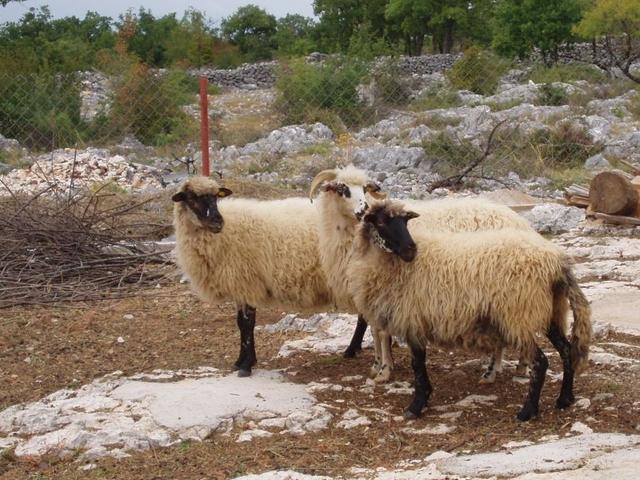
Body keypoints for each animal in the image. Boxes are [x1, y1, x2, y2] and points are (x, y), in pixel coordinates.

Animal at [172, 176, 333, 377]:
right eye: (191, 198)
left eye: (216, 196)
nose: (217, 222)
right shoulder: (240, 287)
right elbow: (240, 324)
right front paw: (241, 361)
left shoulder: (247, 282)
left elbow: (247, 324)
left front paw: (246, 366)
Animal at [309, 166, 535, 383]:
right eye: (342, 189)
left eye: (365, 189)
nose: (363, 210)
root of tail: (520, 221)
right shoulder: (368, 289)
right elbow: (374, 328)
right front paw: (377, 364)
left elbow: (379, 330)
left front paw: (384, 367)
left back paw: (518, 365)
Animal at [345, 200, 592, 421]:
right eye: (382, 222)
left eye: (405, 221)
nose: (410, 249)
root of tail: (557, 263)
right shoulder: (416, 320)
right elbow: (418, 363)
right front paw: (423, 399)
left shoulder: (412, 318)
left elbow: (417, 365)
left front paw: (416, 406)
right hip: (549, 312)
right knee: (567, 351)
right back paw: (565, 399)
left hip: (518, 315)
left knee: (541, 362)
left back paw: (527, 412)